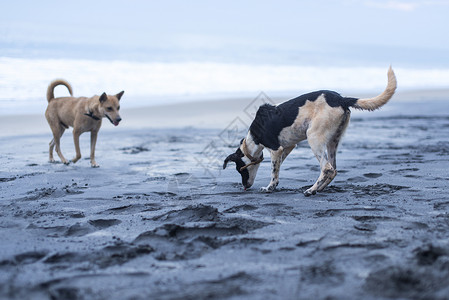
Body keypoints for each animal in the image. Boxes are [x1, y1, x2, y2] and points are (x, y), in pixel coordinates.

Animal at [221, 67, 396, 196]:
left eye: (239, 170)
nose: (245, 186)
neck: (253, 138)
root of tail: (341, 99)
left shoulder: (276, 149)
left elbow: (274, 171)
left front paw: (270, 187)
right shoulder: (287, 148)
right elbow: (277, 167)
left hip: (313, 137)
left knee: (326, 168)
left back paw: (311, 190)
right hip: (333, 141)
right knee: (333, 169)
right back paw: (319, 189)